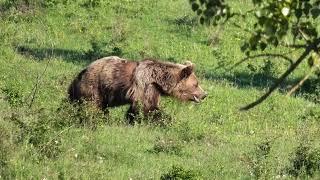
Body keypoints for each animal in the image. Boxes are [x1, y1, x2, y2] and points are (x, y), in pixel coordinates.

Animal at [68, 56, 208, 124]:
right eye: (196, 84)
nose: (204, 94)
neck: (159, 79)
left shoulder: (151, 89)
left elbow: (136, 109)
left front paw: (131, 120)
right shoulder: (146, 86)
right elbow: (148, 107)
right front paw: (166, 121)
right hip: (94, 87)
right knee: (92, 107)